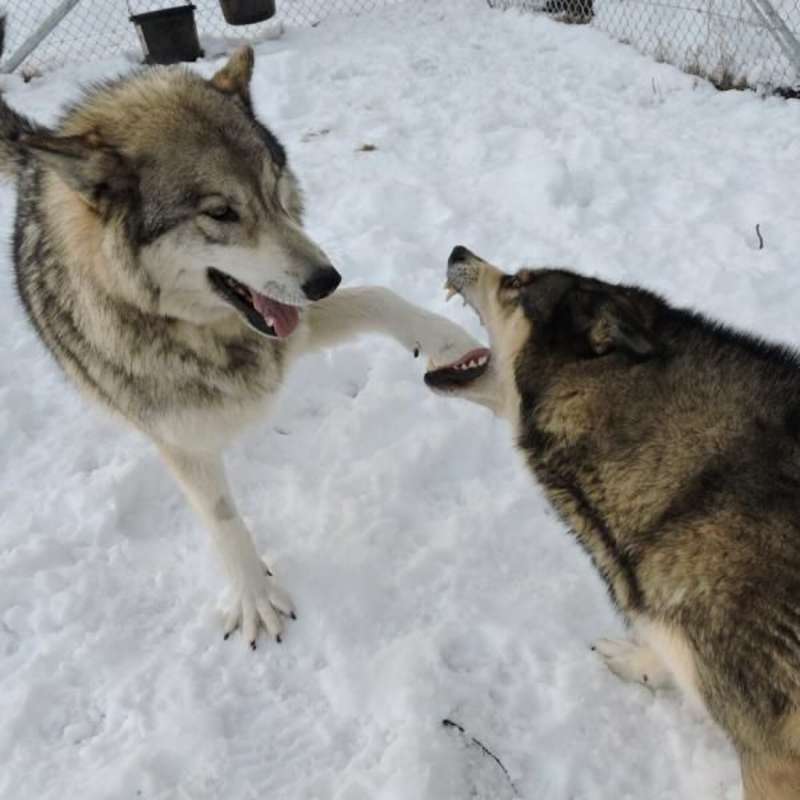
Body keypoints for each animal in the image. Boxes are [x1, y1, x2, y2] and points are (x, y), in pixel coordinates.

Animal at [0, 47, 481, 649]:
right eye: (221, 212)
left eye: (274, 188)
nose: (326, 280)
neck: (198, 332)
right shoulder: (179, 435)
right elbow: (222, 516)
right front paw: (255, 598)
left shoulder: (289, 328)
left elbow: (380, 297)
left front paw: (450, 342)